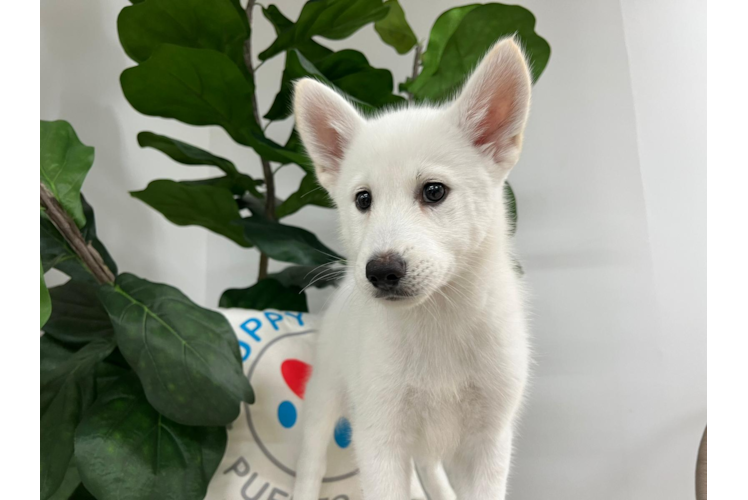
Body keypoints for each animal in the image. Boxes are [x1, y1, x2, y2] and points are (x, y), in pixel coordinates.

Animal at [292, 37, 532, 498]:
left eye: (434, 191)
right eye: (363, 199)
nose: (380, 271)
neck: (438, 320)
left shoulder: (489, 441)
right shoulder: (380, 436)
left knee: (428, 468)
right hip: (324, 397)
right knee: (310, 464)